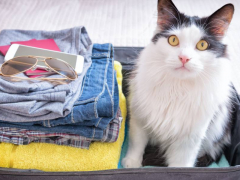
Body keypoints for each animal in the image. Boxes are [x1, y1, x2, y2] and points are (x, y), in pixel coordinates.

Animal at [122, 0, 234, 168]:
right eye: (173, 40)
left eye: (202, 45)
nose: (184, 58)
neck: (177, 88)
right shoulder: (139, 117)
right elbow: (136, 143)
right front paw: (132, 163)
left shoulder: (190, 138)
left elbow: (180, 165)